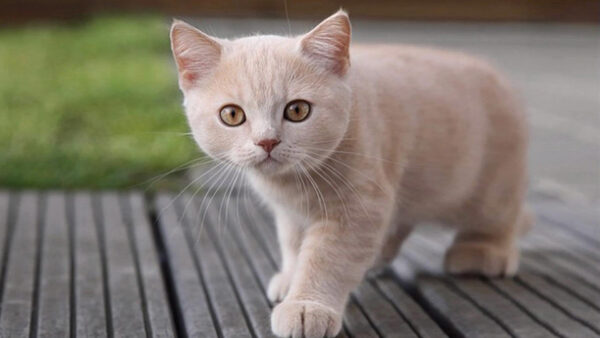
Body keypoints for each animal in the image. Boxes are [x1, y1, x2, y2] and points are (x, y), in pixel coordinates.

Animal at [171, 9, 532, 338]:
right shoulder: (291, 212)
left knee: (503, 216)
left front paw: (306, 305)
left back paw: (484, 251)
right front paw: (290, 277)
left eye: (297, 110)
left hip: (489, 187)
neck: (292, 186)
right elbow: (292, 243)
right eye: (232, 115)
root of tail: (494, 72)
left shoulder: (358, 206)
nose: (267, 141)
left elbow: (327, 257)